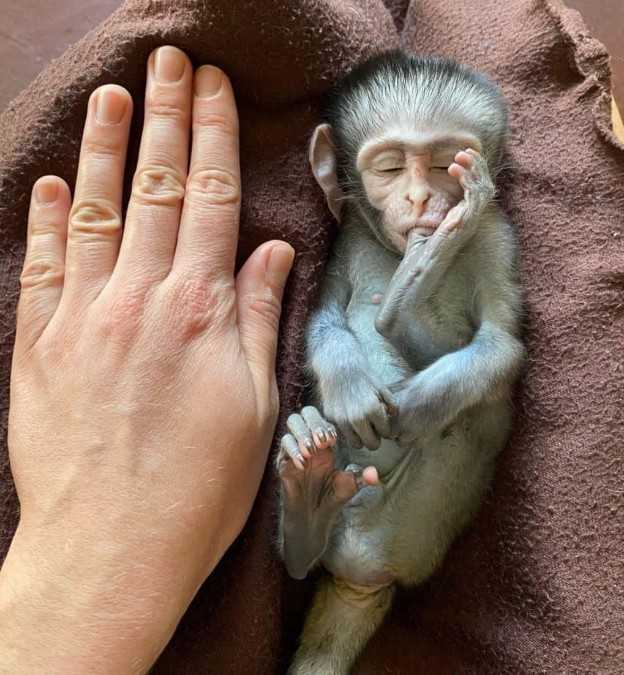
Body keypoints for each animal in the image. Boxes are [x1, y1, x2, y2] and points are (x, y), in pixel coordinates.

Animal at [276, 50, 524, 675]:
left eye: (443, 163)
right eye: (388, 167)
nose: (420, 201)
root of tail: (356, 577)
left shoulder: (497, 237)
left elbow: (502, 347)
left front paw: (411, 404)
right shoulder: (343, 243)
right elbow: (322, 317)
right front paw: (349, 387)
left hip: (409, 528)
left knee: (470, 415)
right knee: (300, 559)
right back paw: (306, 501)